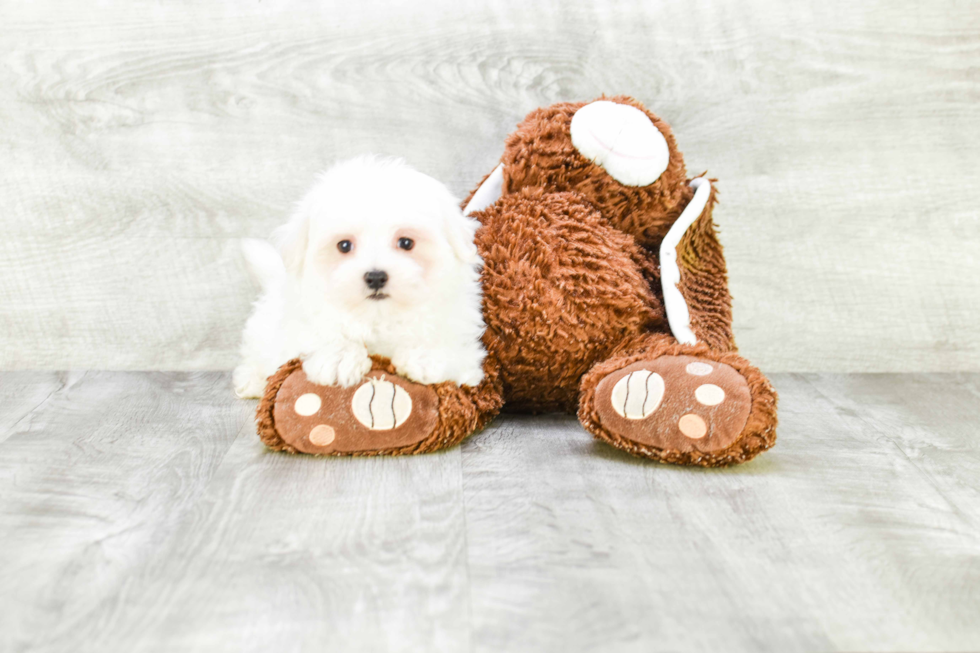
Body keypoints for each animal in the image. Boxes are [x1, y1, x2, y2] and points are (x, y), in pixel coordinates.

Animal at [234, 155, 486, 398]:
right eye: (344, 245)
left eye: (406, 243)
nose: (375, 277)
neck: (377, 318)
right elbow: (322, 333)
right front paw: (340, 357)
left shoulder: (463, 340)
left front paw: (426, 356)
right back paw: (251, 382)